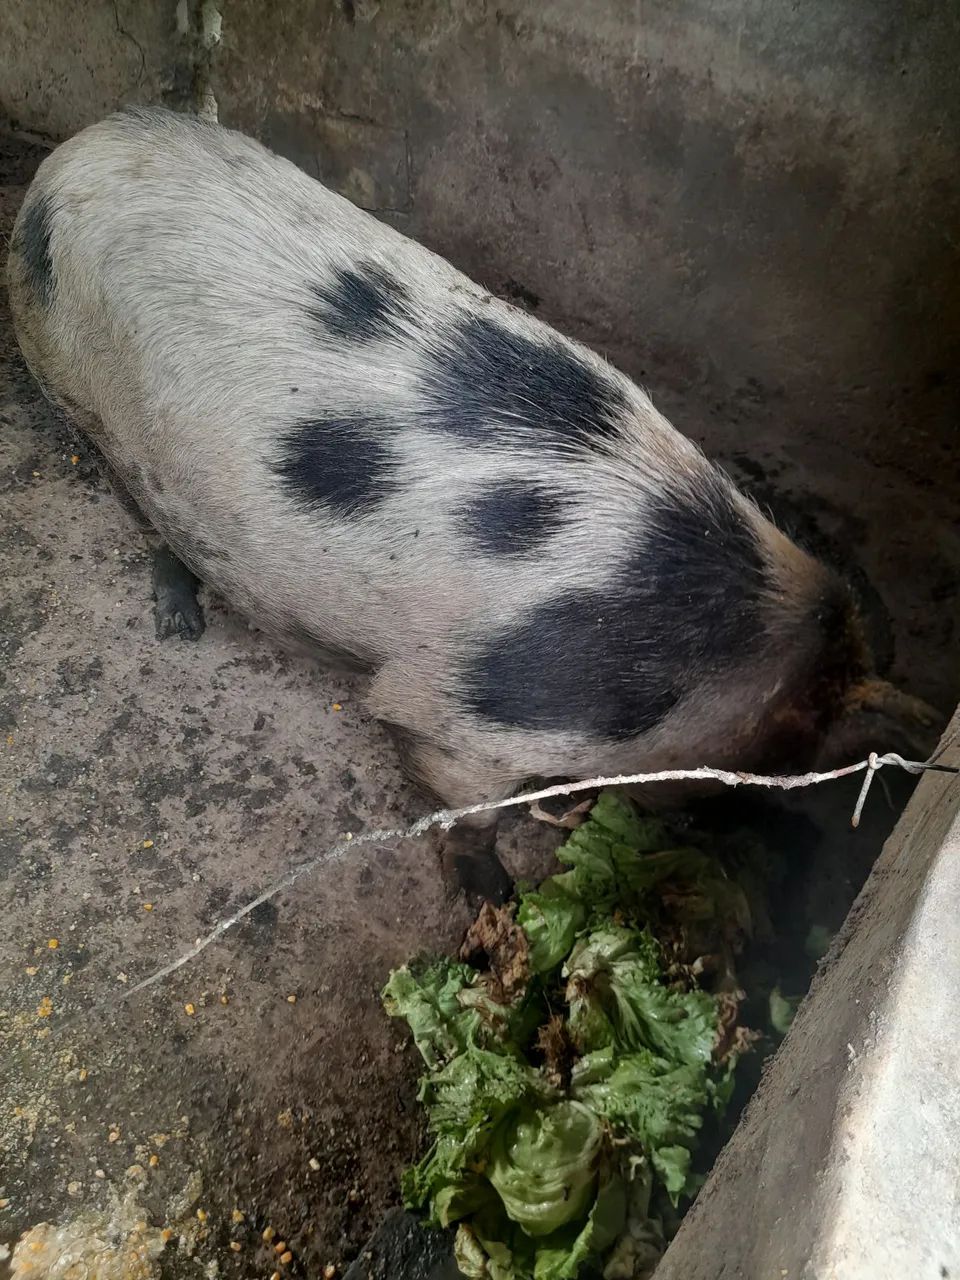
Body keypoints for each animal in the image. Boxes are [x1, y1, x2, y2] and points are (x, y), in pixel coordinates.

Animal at [6, 107, 936, 900]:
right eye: (777, 762)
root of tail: (71, 154)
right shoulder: (466, 718)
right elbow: (466, 806)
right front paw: (493, 893)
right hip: (66, 381)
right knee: (135, 502)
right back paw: (181, 622)